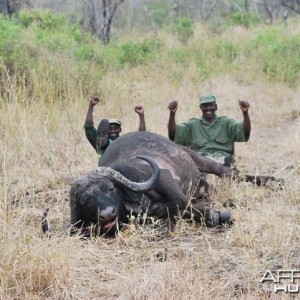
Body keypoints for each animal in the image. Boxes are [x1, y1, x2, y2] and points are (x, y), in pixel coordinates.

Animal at [68, 132, 237, 237]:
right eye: (85, 201)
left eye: (111, 188)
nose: (108, 214)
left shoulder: (163, 176)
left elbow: (181, 202)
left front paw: (216, 215)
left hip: (197, 158)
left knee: (223, 170)